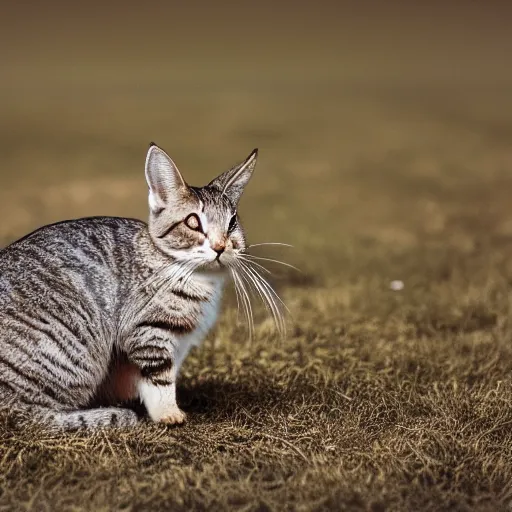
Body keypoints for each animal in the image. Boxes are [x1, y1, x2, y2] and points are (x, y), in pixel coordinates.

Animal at [0, 142, 286, 430]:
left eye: (232, 223)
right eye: (193, 222)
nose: (220, 247)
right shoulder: (148, 331)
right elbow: (160, 378)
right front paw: (169, 413)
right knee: (27, 415)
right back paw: (107, 415)